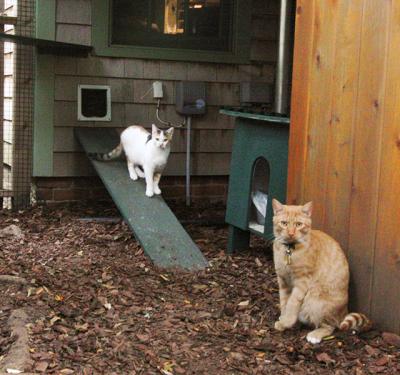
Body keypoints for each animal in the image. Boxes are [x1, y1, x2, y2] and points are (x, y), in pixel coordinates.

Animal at [270, 200, 370, 344]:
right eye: (284, 223)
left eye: (298, 224)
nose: (291, 233)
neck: (289, 251)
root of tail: (344, 311)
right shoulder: (283, 280)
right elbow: (284, 301)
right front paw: (283, 319)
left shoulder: (302, 281)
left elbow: (292, 303)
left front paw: (287, 321)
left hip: (316, 302)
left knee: (330, 326)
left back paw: (315, 335)